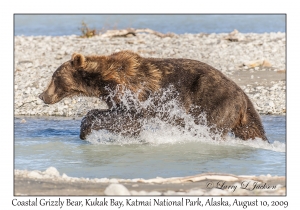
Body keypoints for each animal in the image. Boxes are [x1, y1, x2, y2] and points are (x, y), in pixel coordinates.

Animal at [39, 50, 268, 141]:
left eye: (54, 77)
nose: (42, 95)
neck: (103, 80)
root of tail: (243, 95)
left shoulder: (134, 92)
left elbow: (128, 116)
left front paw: (85, 129)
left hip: (215, 102)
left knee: (212, 128)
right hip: (241, 116)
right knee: (251, 129)